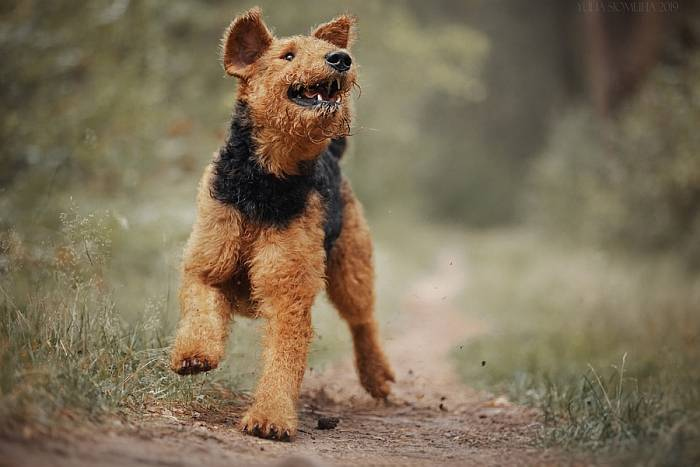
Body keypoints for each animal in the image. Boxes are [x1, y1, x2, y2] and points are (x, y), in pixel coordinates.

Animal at [171, 9, 394, 444]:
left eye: (326, 50)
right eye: (287, 55)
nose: (341, 59)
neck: (267, 180)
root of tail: (333, 154)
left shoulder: (287, 288)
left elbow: (283, 358)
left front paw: (270, 419)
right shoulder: (208, 265)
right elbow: (201, 309)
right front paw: (193, 355)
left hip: (351, 267)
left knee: (363, 321)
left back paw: (378, 377)